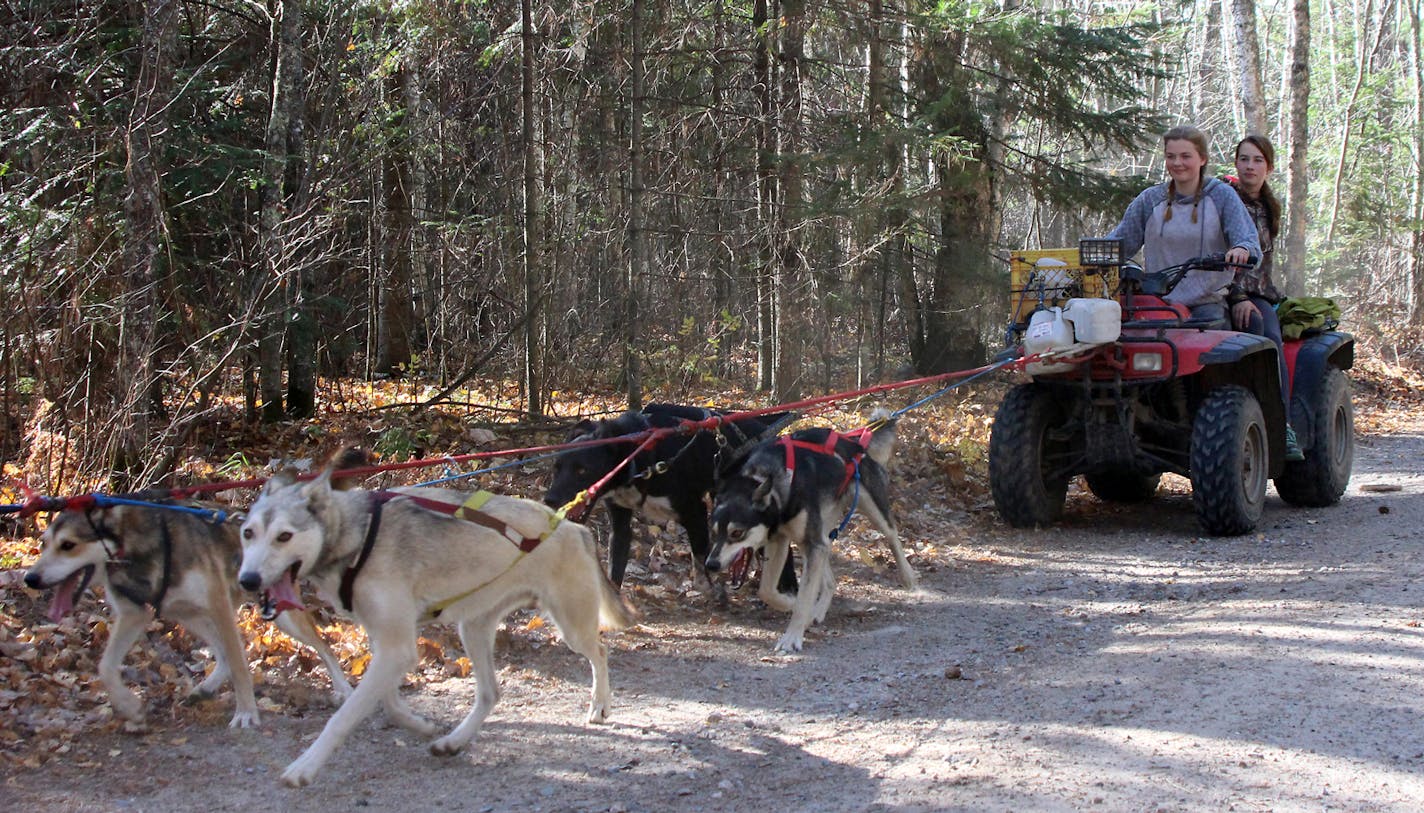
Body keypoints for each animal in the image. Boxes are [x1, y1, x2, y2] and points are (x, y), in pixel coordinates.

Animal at [24, 506, 350, 734]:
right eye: (44, 543)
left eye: (68, 545)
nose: (30, 578)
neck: (131, 547)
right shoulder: (134, 614)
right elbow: (105, 667)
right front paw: (130, 707)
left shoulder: (218, 605)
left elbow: (241, 668)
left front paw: (246, 712)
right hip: (189, 615)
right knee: (224, 654)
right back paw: (204, 689)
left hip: (282, 617)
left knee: (322, 646)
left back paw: (343, 689)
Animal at [239, 469, 635, 791]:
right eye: (248, 533)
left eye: (284, 536)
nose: (247, 580)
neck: (357, 535)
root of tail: (574, 527)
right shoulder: (386, 642)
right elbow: (388, 703)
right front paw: (420, 725)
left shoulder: (396, 648)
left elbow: (342, 718)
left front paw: (305, 766)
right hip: (472, 629)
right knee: (490, 693)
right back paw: (453, 742)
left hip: (571, 626)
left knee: (600, 652)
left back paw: (600, 706)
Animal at [541, 401, 797, 598]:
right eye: (556, 467)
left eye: (582, 470)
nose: (550, 500)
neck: (640, 456)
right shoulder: (620, 519)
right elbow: (616, 563)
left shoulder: (694, 511)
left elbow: (700, 558)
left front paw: (710, 589)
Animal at [703, 410, 917, 652]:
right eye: (714, 532)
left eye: (737, 533)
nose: (711, 565)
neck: (777, 483)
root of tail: (854, 440)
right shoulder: (780, 540)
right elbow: (766, 591)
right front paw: (789, 603)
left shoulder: (806, 542)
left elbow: (804, 597)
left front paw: (791, 637)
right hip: (813, 539)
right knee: (829, 578)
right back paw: (817, 610)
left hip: (869, 511)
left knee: (892, 536)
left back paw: (908, 576)